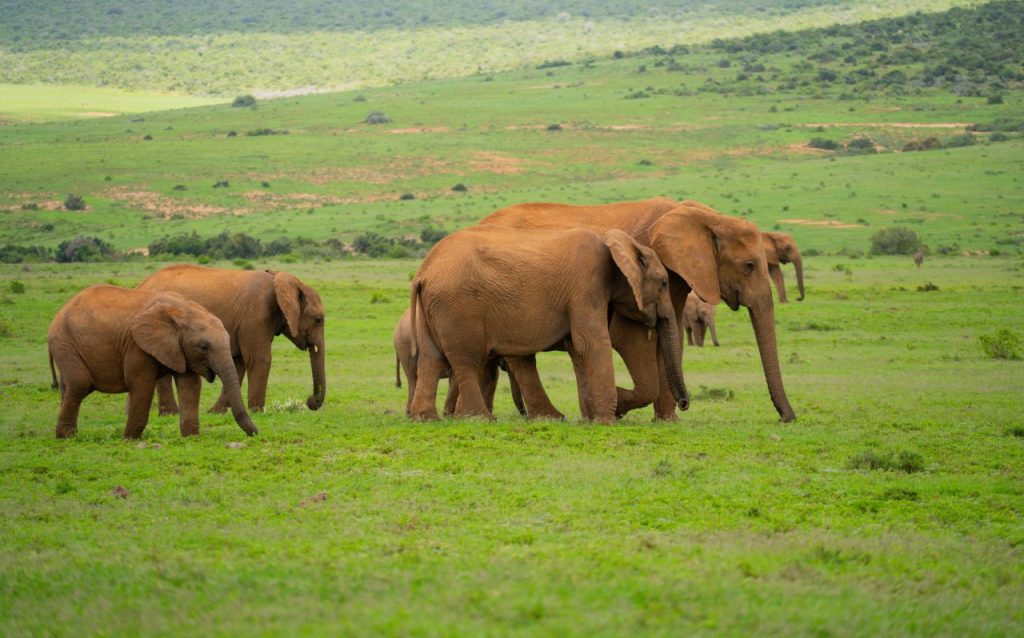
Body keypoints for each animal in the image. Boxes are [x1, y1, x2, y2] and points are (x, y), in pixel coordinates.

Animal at [47, 285, 258, 439]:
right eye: (203, 346)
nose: (256, 433)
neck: (182, 310)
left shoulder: (180, 349)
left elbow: (190, 385)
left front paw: (191, 437)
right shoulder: (137, 345)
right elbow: (142, 385)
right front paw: (129, 439)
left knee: (68, 388)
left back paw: (68, 434)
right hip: (65, 342)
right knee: (80, 384)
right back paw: (66, 437)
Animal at [137, 265, 325, 414]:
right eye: (318, 319)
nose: (310, 401)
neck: (281, 279)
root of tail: (141, 284)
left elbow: (238, 363)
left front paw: (215, 412)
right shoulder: (256, 314)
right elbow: (259, 359)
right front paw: (257, 411)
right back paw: (171, 413)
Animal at [393, 308, 526, 417]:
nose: (524, 414)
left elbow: (490, 376)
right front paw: (450, 416)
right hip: (405, 348)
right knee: (413, 379)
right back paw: (410, 414)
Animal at [407, 226, 688, 423]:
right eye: (663, 283)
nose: (685, 404)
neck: (617, 243)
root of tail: (423, 271)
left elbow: (578, 348)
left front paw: (593, 418)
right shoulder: (587, 285)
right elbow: (591, 343)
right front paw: (607, 419)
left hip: (433, 308)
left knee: (431, 359)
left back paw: (425, 418)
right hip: (458, 307)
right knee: (467, 360)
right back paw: (480, 419)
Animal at [480, 198, 796, 422]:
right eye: (749, 266)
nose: (787, 419)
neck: (706, 216)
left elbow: (670, 337)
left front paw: (666, 421)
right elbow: (634, 340)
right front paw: (618, 404)